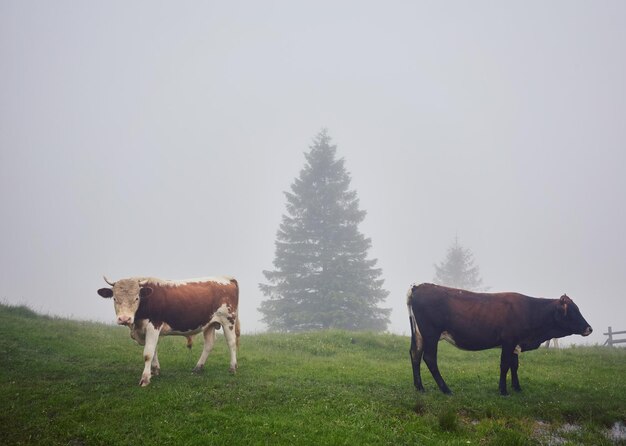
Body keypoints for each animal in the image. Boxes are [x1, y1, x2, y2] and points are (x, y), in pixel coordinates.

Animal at [97, 274, 239, 386]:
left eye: (137, 298)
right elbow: (154, 350)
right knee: (209, 344)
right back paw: (198, 367)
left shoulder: (153, 325)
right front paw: (155, 370)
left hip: (228, 320)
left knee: (231, 343)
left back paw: (232, 367)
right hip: (209, 324)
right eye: (114, 298)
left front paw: (145, 379)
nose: (124, 318)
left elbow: (148, 353)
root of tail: (227, 278)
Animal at [404, 284, 588, 396]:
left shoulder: (515, 343)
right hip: (431, 334)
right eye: (573, 311)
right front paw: (503, 390)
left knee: (415, 354)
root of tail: (419, 286)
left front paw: (517, 387)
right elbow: (505, 365)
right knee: (429, 358)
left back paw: (419, 387)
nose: (590, 328)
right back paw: (446, 389)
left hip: (419, 333)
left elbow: (514, 365)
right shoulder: (508, 341)